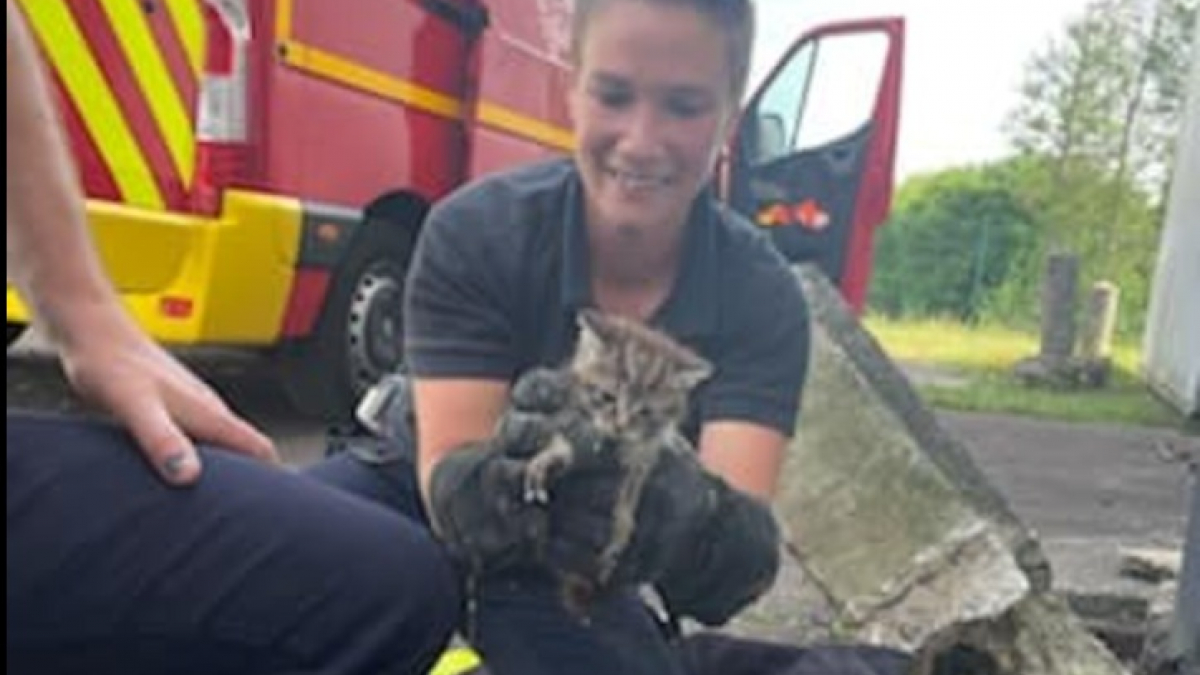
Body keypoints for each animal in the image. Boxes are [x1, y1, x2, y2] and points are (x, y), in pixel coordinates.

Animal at [518, 307, 710, 612]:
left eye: (645, 412)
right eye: (607, 397)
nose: (620, 427)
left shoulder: (644, 451)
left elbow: (632, 486)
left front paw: (622, 526)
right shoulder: (566, 405)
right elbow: (563, 432)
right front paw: (549, 457)